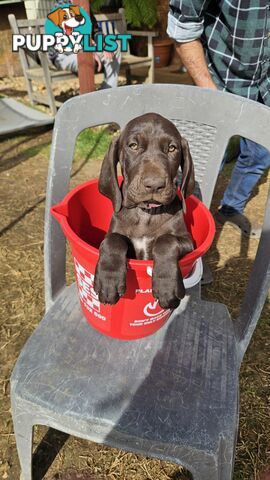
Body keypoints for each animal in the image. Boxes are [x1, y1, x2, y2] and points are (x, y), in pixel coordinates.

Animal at [94, 111, 195, 308]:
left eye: (172, 148)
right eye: (133, 145)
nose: (154, 185)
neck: (146, 213)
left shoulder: (188, 241)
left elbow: (166, 240)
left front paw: (166, 285)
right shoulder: (115, 232)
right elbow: (113, 239)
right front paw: (109, 280)